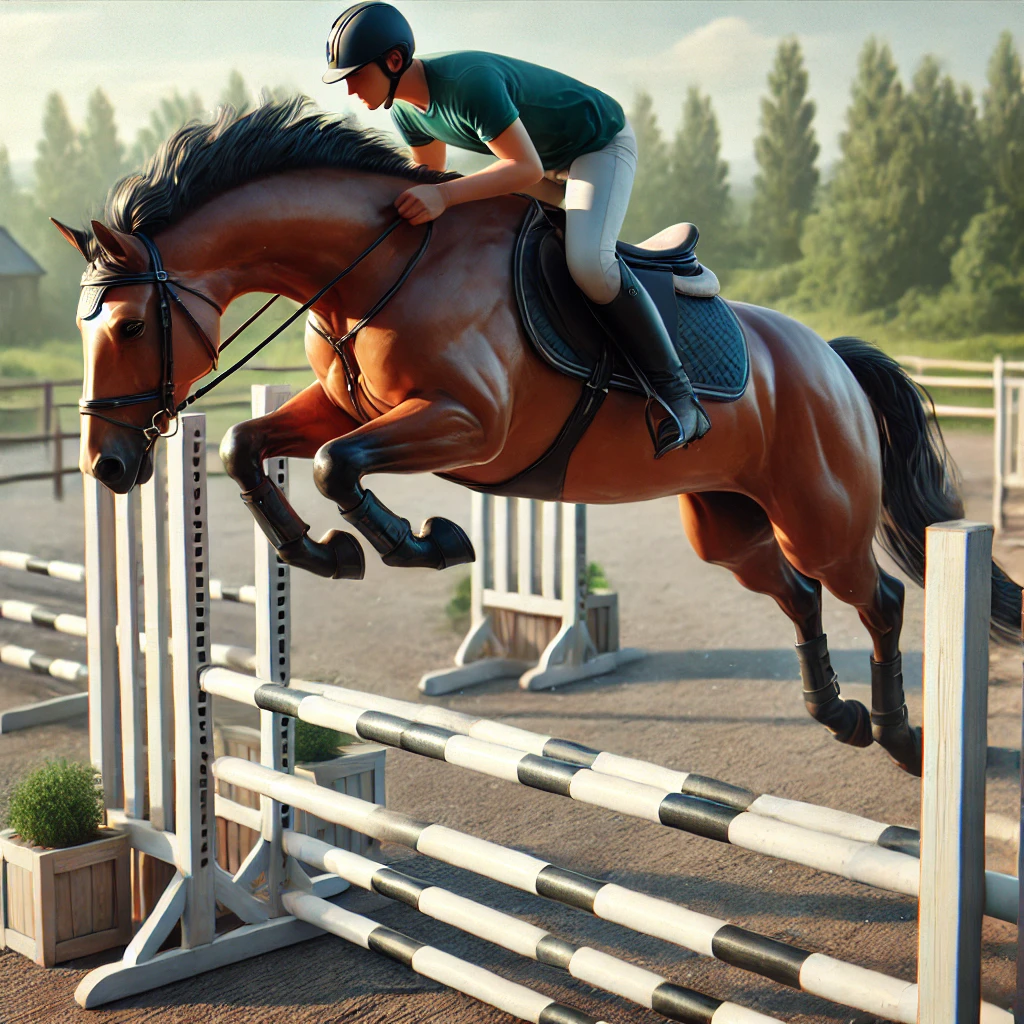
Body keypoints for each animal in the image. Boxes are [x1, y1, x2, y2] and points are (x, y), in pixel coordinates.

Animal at [58, 101, 1024, 774]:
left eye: (133, 325)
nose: (108, 465)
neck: (380, 265)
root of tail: (830, 356)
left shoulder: (467, 425)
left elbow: (335, 467)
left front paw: (428, 540)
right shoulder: (350, 409)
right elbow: (247, 448)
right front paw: (324, 553)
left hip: (819, 512)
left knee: (878, 597)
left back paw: (901, 735)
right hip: (727, 522)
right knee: (797, 594)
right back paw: (838, 715)